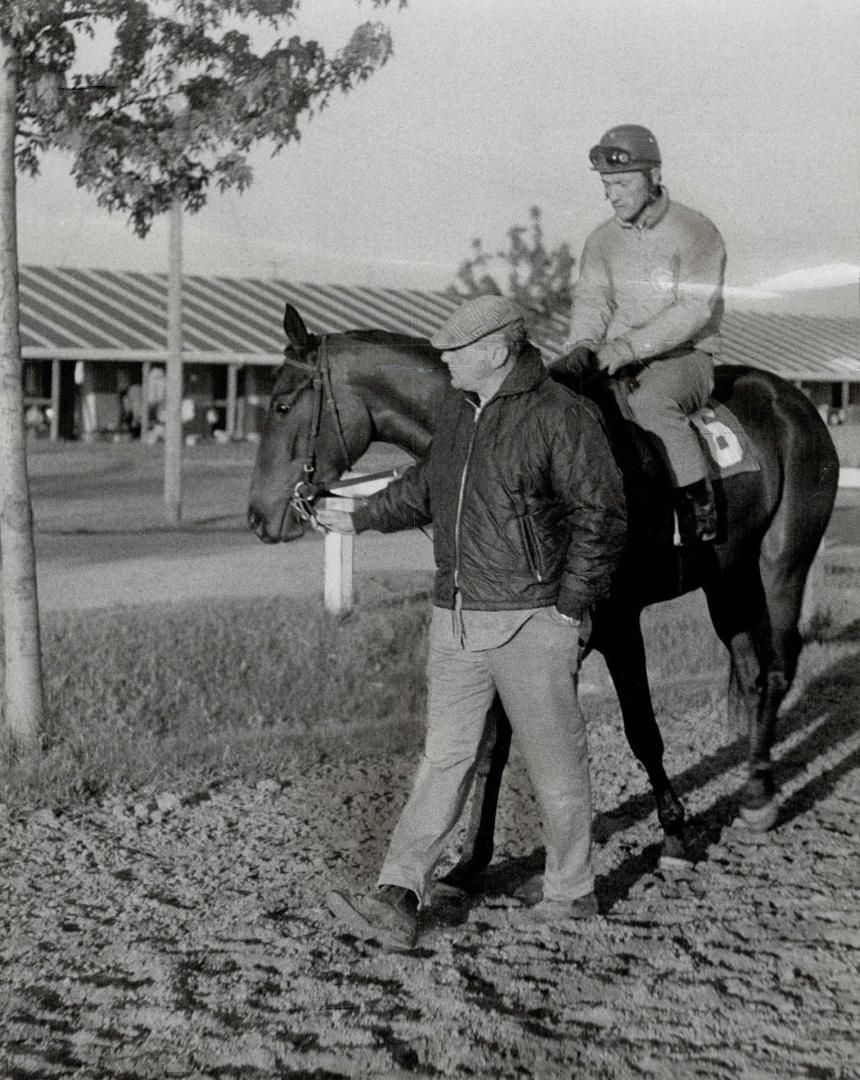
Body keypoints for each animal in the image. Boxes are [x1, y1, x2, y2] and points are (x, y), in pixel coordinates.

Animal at [245, 302, 838, 876]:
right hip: (727, 577)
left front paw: (674, 832)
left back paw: (758, 796)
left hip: (781, 563)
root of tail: (793, 401)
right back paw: (754, 781)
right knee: (751, 671)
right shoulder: (505, 626)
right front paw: (470, 860)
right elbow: (494, 744)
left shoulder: (618, 624)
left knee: (778, 667)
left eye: (281, 405)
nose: (257, 516)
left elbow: (642, 730)